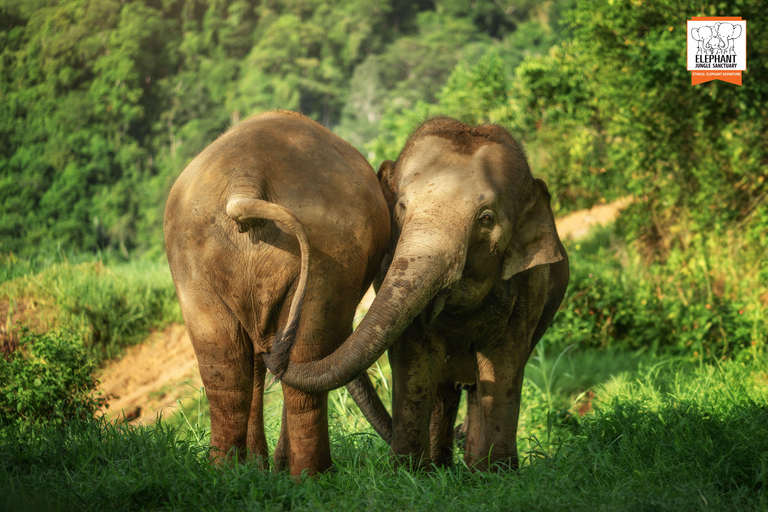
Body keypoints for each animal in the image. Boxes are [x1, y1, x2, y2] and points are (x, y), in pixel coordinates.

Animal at [164, 110, 390, 476]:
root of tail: (245, 182)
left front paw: (260, 470)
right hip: (330, 251)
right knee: (301, 359)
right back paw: (312, 477)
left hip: (194, 258)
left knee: (227, 369)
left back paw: (225, 473)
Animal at [269, 117, 569, 471]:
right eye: (401, 207)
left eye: (486, 218)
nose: (274, 348)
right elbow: (414, 356)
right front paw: (408, 472)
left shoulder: (527, 286)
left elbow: (504, 361)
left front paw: (499, 473)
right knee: (445, 390)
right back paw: (444, 465)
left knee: (475, 387)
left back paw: (471, 466)